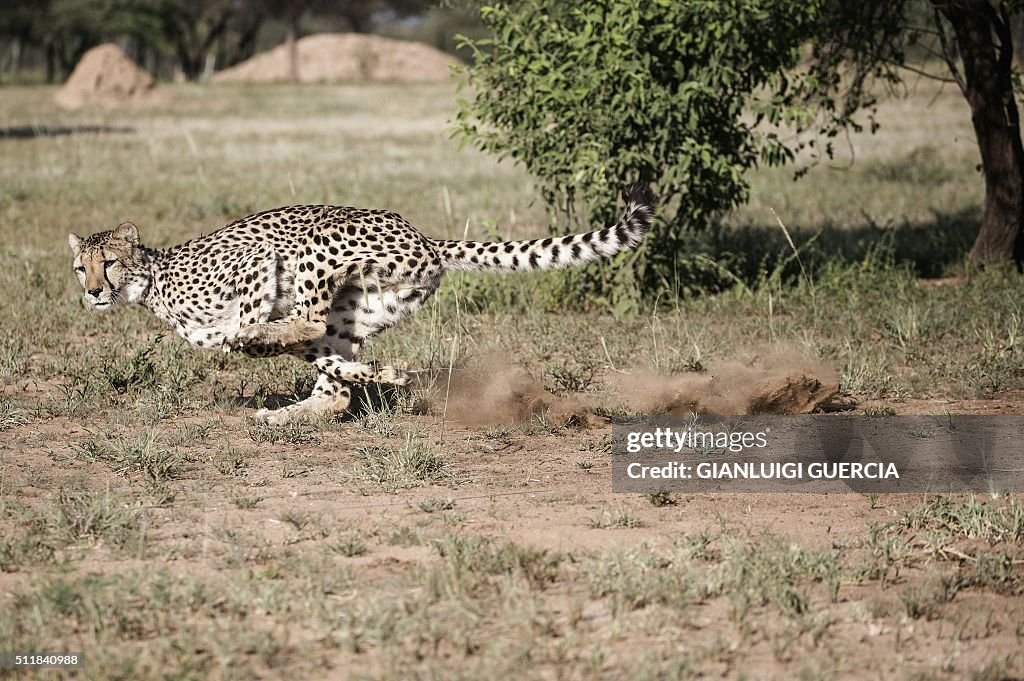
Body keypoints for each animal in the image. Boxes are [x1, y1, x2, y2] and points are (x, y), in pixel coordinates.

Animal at [69, 184, 654, 425]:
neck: (152, 279)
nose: (93, 291)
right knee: (333, 385)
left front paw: (255, 332)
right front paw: (386, 374)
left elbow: (251, 327)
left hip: (315, 251)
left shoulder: (255, 260)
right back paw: (297, 411)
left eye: (109, 263)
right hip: (361, 308)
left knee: (304, 324)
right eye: (81, 267)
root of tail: (424, 237)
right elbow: (315, 360)